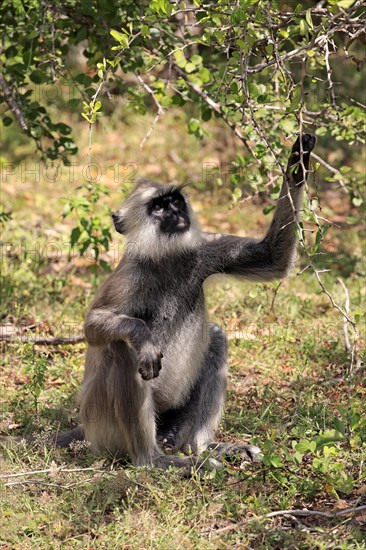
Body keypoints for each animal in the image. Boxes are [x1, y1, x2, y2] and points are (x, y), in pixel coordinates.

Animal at [1, 135, 316, 474]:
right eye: (157, 207)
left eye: (175, 201)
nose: (176, 214)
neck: (166, 257)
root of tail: (85, 428)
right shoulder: (130, 275)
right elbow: (93, 327)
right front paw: (143, 337)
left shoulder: (202, 250)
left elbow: (272, 258)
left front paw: (299, 160)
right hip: (104, 428)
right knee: (122, 348)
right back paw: (153, 459)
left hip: (173, 422)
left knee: (216, 336)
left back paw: (201, 447)